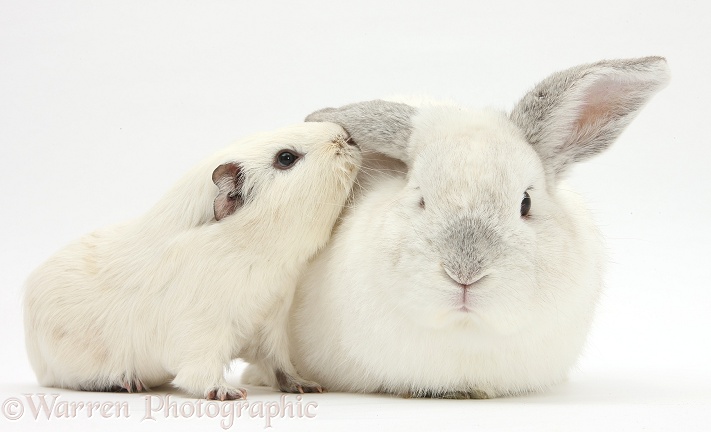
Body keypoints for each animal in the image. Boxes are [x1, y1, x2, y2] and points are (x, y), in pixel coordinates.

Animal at [25, 120, 362, 398]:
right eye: (286, 158)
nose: (348, 136)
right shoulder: (202, 332)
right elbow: (199, 372)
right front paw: (228, 393)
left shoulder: (270, 324)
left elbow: (278, 365)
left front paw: (306, 386)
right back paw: (127, 383)